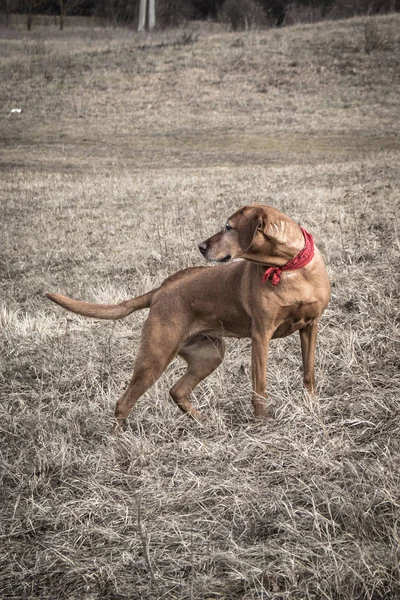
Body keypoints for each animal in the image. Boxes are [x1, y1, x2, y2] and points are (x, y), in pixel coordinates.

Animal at [47, 205, 330, 426]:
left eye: (228, 227)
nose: (201, 246)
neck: (288, 267)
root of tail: (160, 291)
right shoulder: (261, 335)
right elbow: (259, 385)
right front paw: (262, 422)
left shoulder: (311, 326)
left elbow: (309, 372)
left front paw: (312, 404)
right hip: (155, 356)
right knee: (123, 403)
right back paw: (118, 445)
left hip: (209, 354)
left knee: (177, 391)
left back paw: (202, 421)